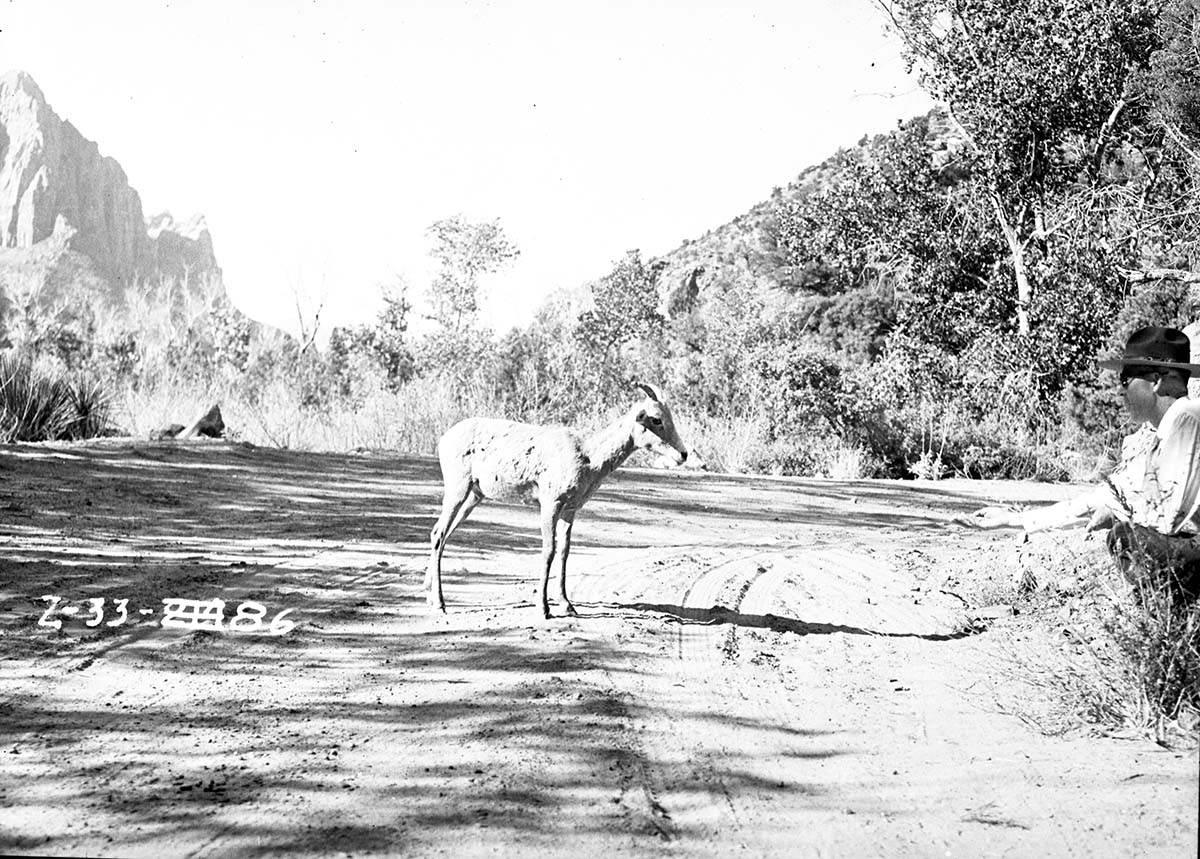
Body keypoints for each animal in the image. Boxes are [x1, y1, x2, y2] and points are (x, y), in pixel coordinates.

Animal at [426, 382, 688, 619]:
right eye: (656, 419)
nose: (683, 454)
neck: (588, 457)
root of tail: (445, 439)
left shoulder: (570, 510)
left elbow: (564, 552)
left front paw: (567, 606)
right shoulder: (550, 505)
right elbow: (549, 551)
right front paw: (544, 609)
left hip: (474, 496)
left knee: (443, 533)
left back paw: (429, 595)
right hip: (457, 490)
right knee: (439, 533)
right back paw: (440, 604)